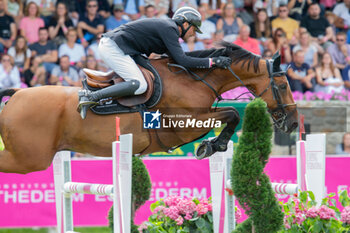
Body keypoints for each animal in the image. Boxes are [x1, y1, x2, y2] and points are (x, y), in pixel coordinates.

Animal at [0, 44, 298, 175]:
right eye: (283, 85)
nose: (294, 124)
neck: (193, 79)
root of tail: (16, 95)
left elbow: (230, 115)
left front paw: (212, 145)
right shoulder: (185, 125)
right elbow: (233, 114)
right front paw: (213, 146)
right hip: (29, 159)